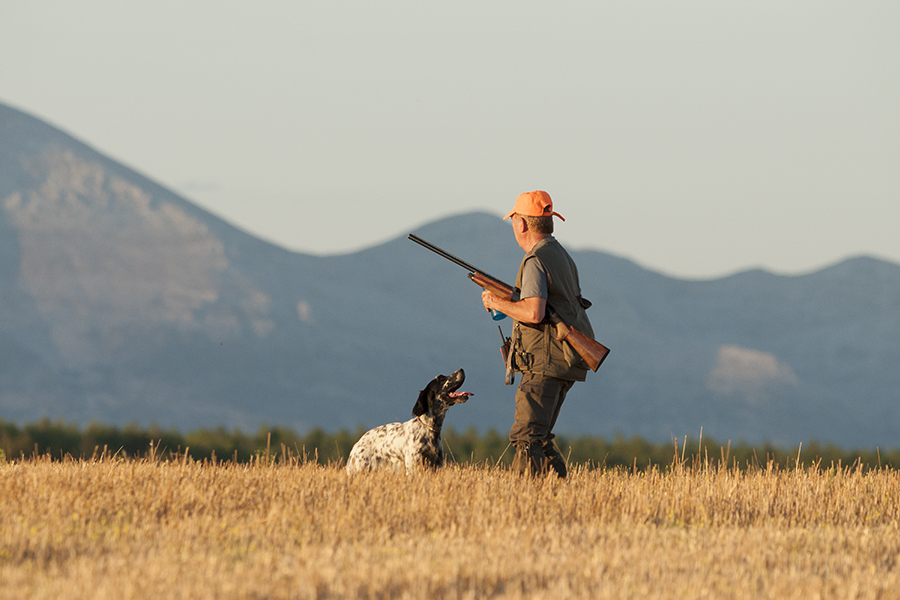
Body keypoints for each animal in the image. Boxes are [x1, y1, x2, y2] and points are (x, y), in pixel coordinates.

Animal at [344, 366, 472, 474]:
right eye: (441, 378)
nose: (461, 369)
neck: (429, 429)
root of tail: (357, 444)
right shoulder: (413, 466)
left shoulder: (437, 466)